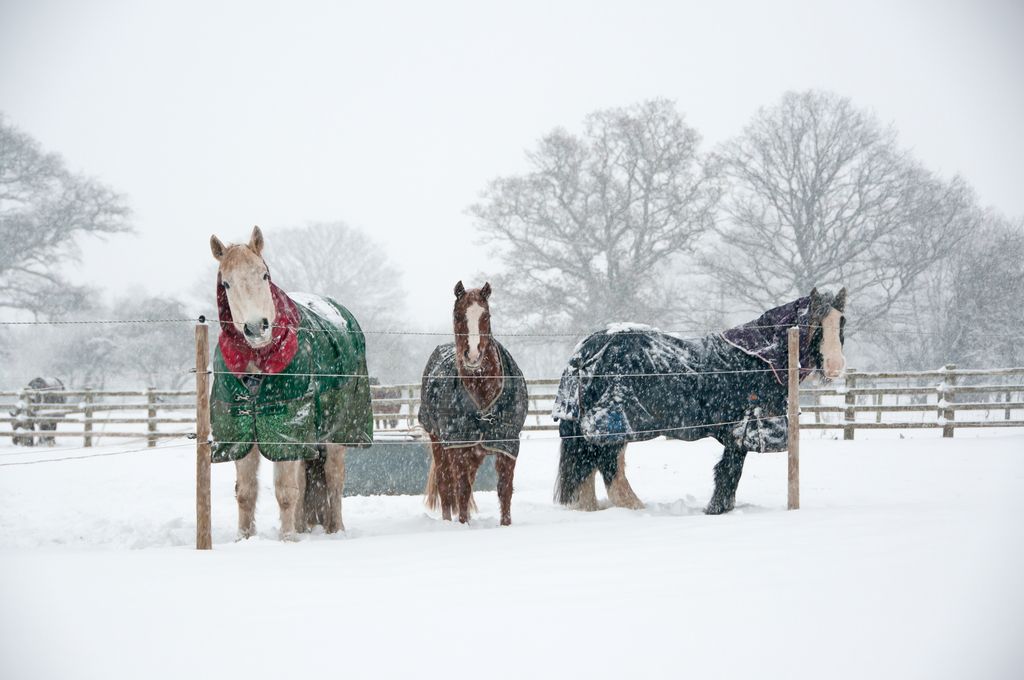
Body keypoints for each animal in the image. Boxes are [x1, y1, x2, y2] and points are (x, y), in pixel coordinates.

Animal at [208, 226, 373, 540]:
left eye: (264, 275)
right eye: (226, 284)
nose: (256, 327)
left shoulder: (287, 429)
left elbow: (285, 491)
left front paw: (287, 541)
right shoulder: (240, 431)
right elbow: (246, 493)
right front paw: (244, 538)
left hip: (338, 431)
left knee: (334, 480)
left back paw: (336, 530)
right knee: (305, 481)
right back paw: (301, 526)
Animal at [419, 281, 528, 525]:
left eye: (486, 315)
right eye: (458, 315)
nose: (473, 356)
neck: (482, 391)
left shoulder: (507, 444)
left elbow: (504, 489)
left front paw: (506, 525)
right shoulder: (458, 445)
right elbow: (461, 490)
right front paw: (463, 525)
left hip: (475, 453)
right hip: (439, 442)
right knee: (446, 485)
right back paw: (448, 521)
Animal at [552, 288, 846, 514]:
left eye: (842, 323)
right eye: (814, 324)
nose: (835, 367)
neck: (756, 358)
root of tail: (584, 351)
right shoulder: (741, 430)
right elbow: (729, 472)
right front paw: (716, 510)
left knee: (588, 472)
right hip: (613, 428)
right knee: (610, 473)